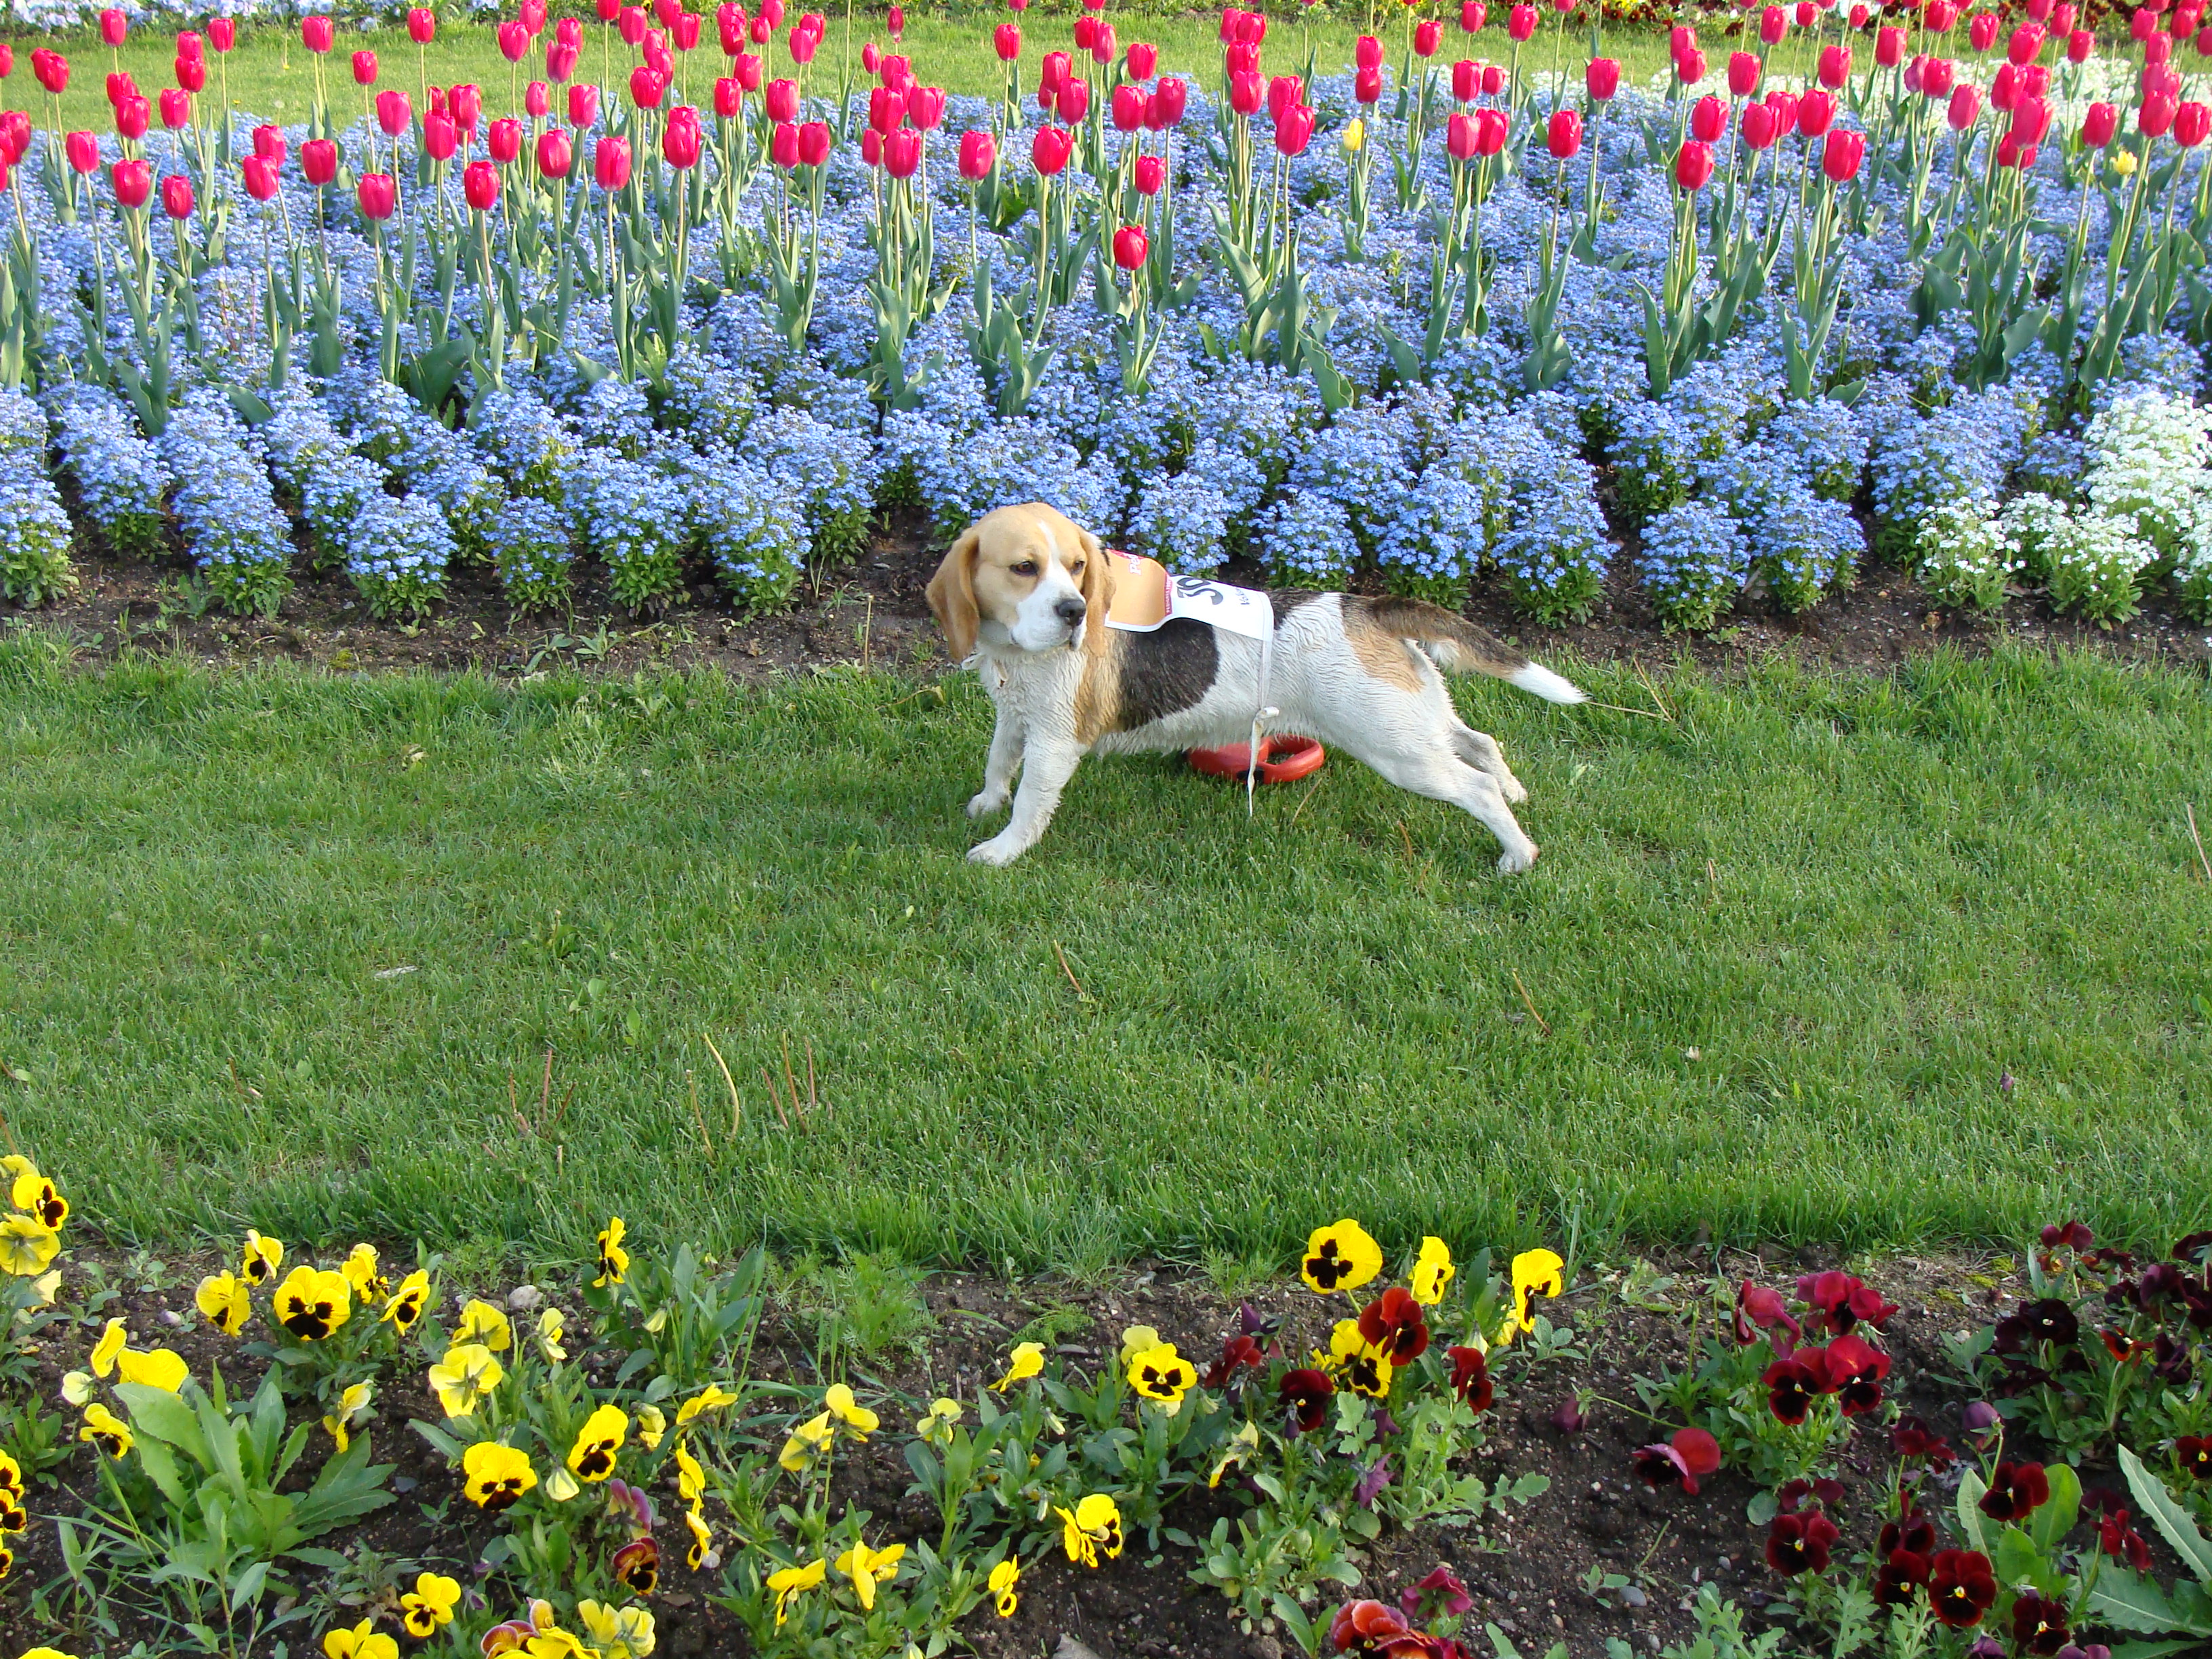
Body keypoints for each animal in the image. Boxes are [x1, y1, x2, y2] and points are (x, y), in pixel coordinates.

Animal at [924, 504, 1584, 872]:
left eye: (1077, 566)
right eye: (1024, 568)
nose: (1074, 612)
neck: (1015, 654)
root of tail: (1369, 608)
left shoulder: (1055, 742)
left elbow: (1031, 801)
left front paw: (1003, 849)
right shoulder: (1016, 716)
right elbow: (998, 761)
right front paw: (986, 802)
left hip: (1398, 749)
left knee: (1475, 787)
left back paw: (1517, 854)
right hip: (1417, 721)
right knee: (1482, 742)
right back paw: (1516, 790)